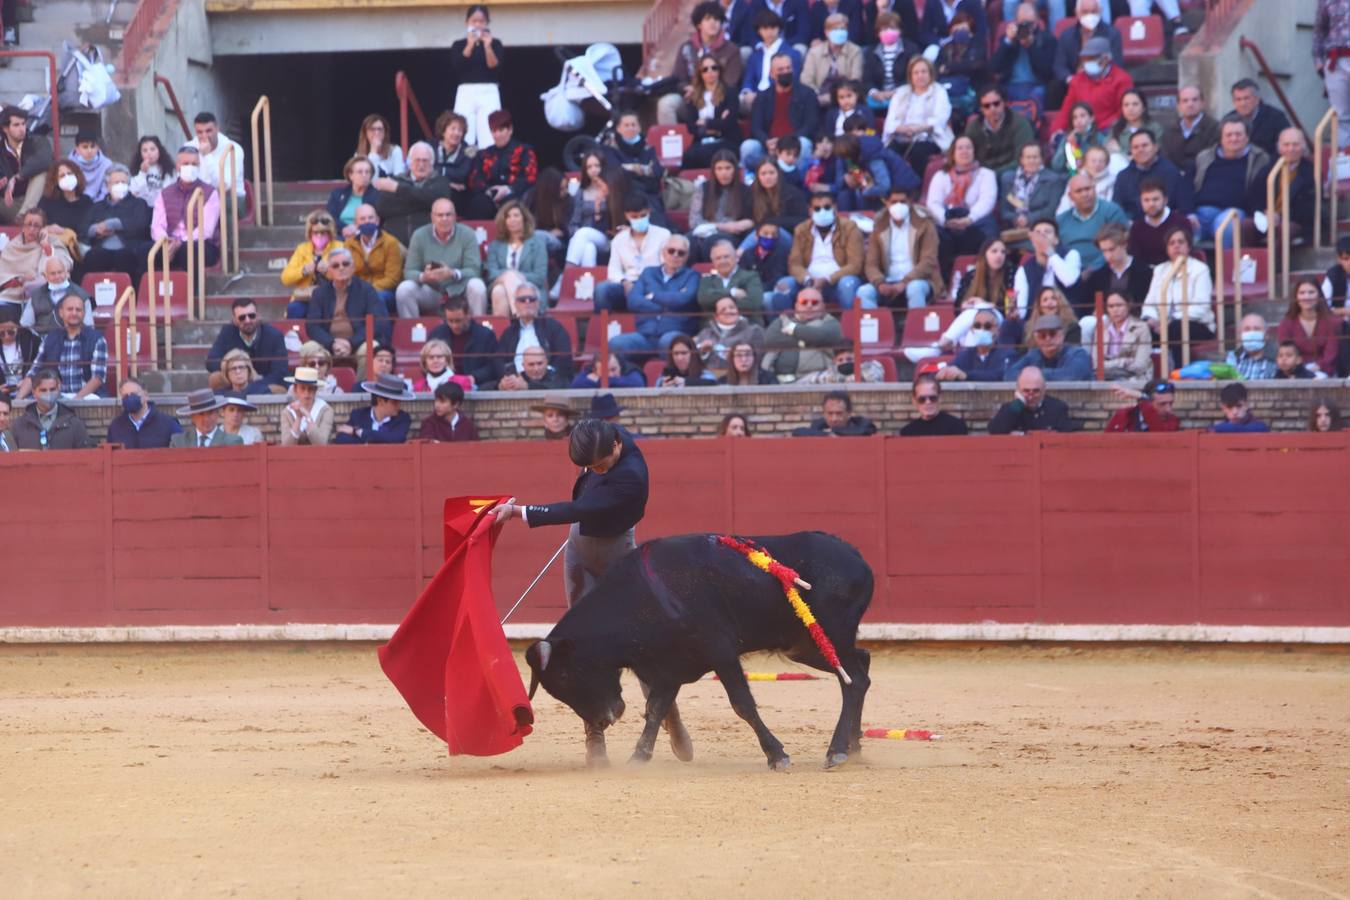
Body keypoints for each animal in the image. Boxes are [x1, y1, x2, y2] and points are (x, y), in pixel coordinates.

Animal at [526, 531, 874, 771]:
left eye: (565, 674)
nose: (604, 718)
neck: (642, 596)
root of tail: (857, 557)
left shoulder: (721, 651)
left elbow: (742, 704)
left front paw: (777, 755)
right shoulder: (667, 667)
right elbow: (655, 710)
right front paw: (638, 757)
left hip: (827, 637)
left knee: (853, 681)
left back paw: (837, 750)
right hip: (803, 646)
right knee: (862, 666)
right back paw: (854, 747)